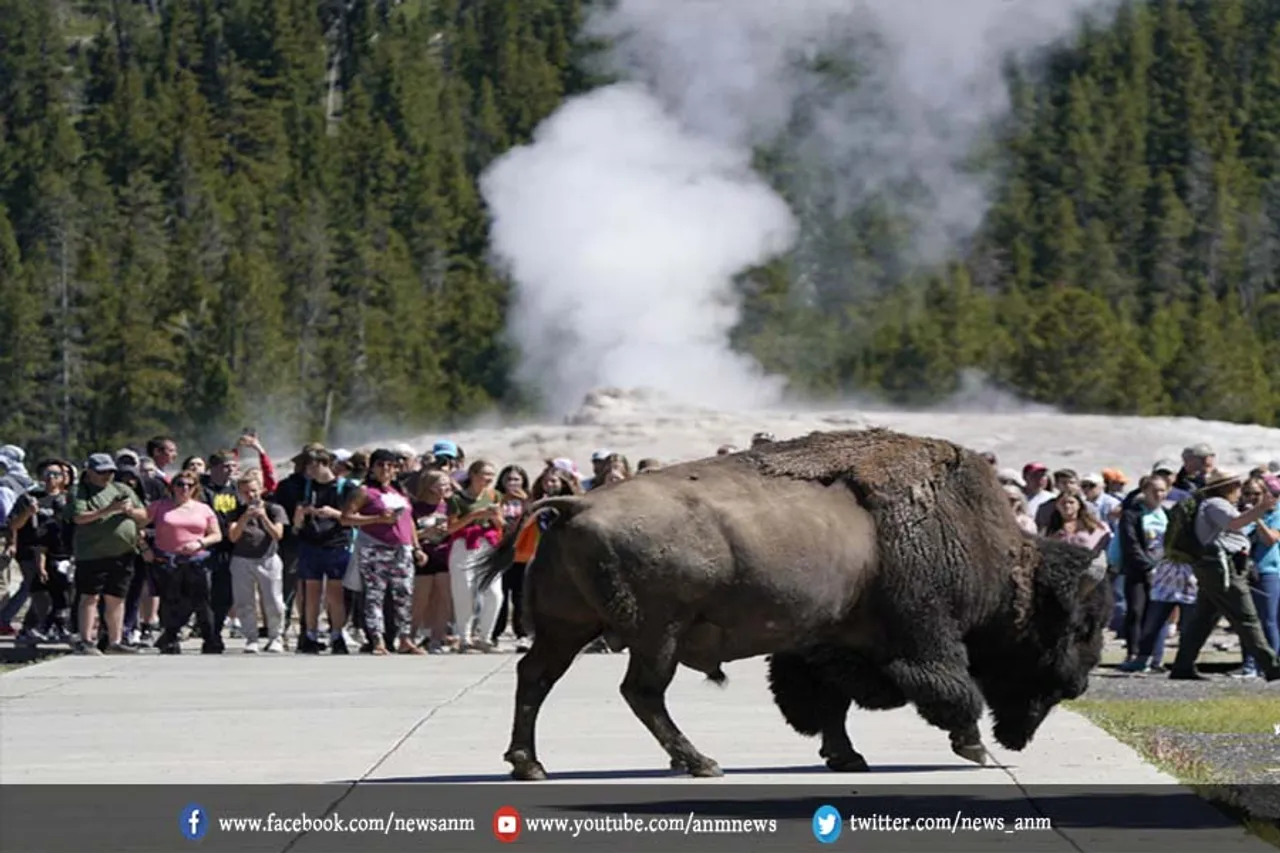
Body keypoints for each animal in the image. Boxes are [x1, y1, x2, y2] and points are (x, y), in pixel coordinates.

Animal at [473, 428, 1111, 781]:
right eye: (1080, 625)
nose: (1079, 685)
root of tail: (575, 504)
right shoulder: (925, 635)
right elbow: (951, 687)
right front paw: (973, 748)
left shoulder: (824, 645)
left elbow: (828, 703)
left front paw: (846, 757)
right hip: (657, 636)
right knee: (640, 693)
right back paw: (700, 762)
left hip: (568, 628)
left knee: (536, 678)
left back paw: (529, 764)